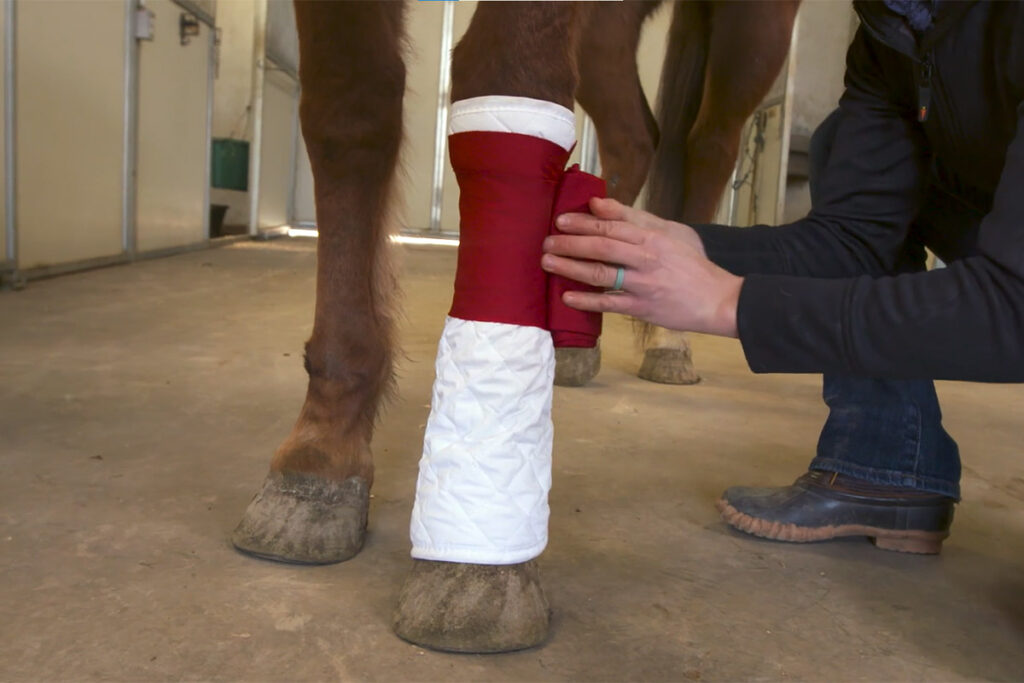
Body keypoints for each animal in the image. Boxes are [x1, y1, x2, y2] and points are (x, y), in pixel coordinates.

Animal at [232, 0, 798, 651]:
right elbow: (350, 109)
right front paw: (320, 457)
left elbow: (506, 69)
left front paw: (474, 573)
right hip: (608, 30)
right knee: (635, 135)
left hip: (750, 23)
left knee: (710, 140)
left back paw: (668, 340)